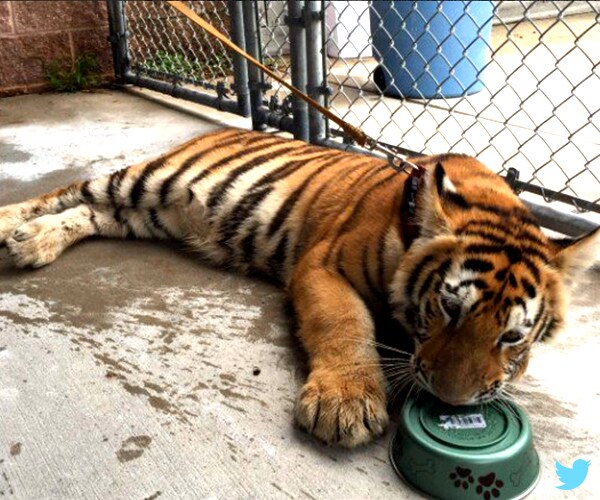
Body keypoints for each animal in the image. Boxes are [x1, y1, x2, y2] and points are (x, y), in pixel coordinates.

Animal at [0, 128, 596, 446]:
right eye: (448, 308)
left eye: (511, 337)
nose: (451, 401)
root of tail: (215, 129)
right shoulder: (323, 266)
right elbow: (344, 325)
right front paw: (345, 404)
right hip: (143, 180)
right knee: (67, 191)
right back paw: (12, 226)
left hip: (147, 214)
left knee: (89, 214)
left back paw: (35, 243)